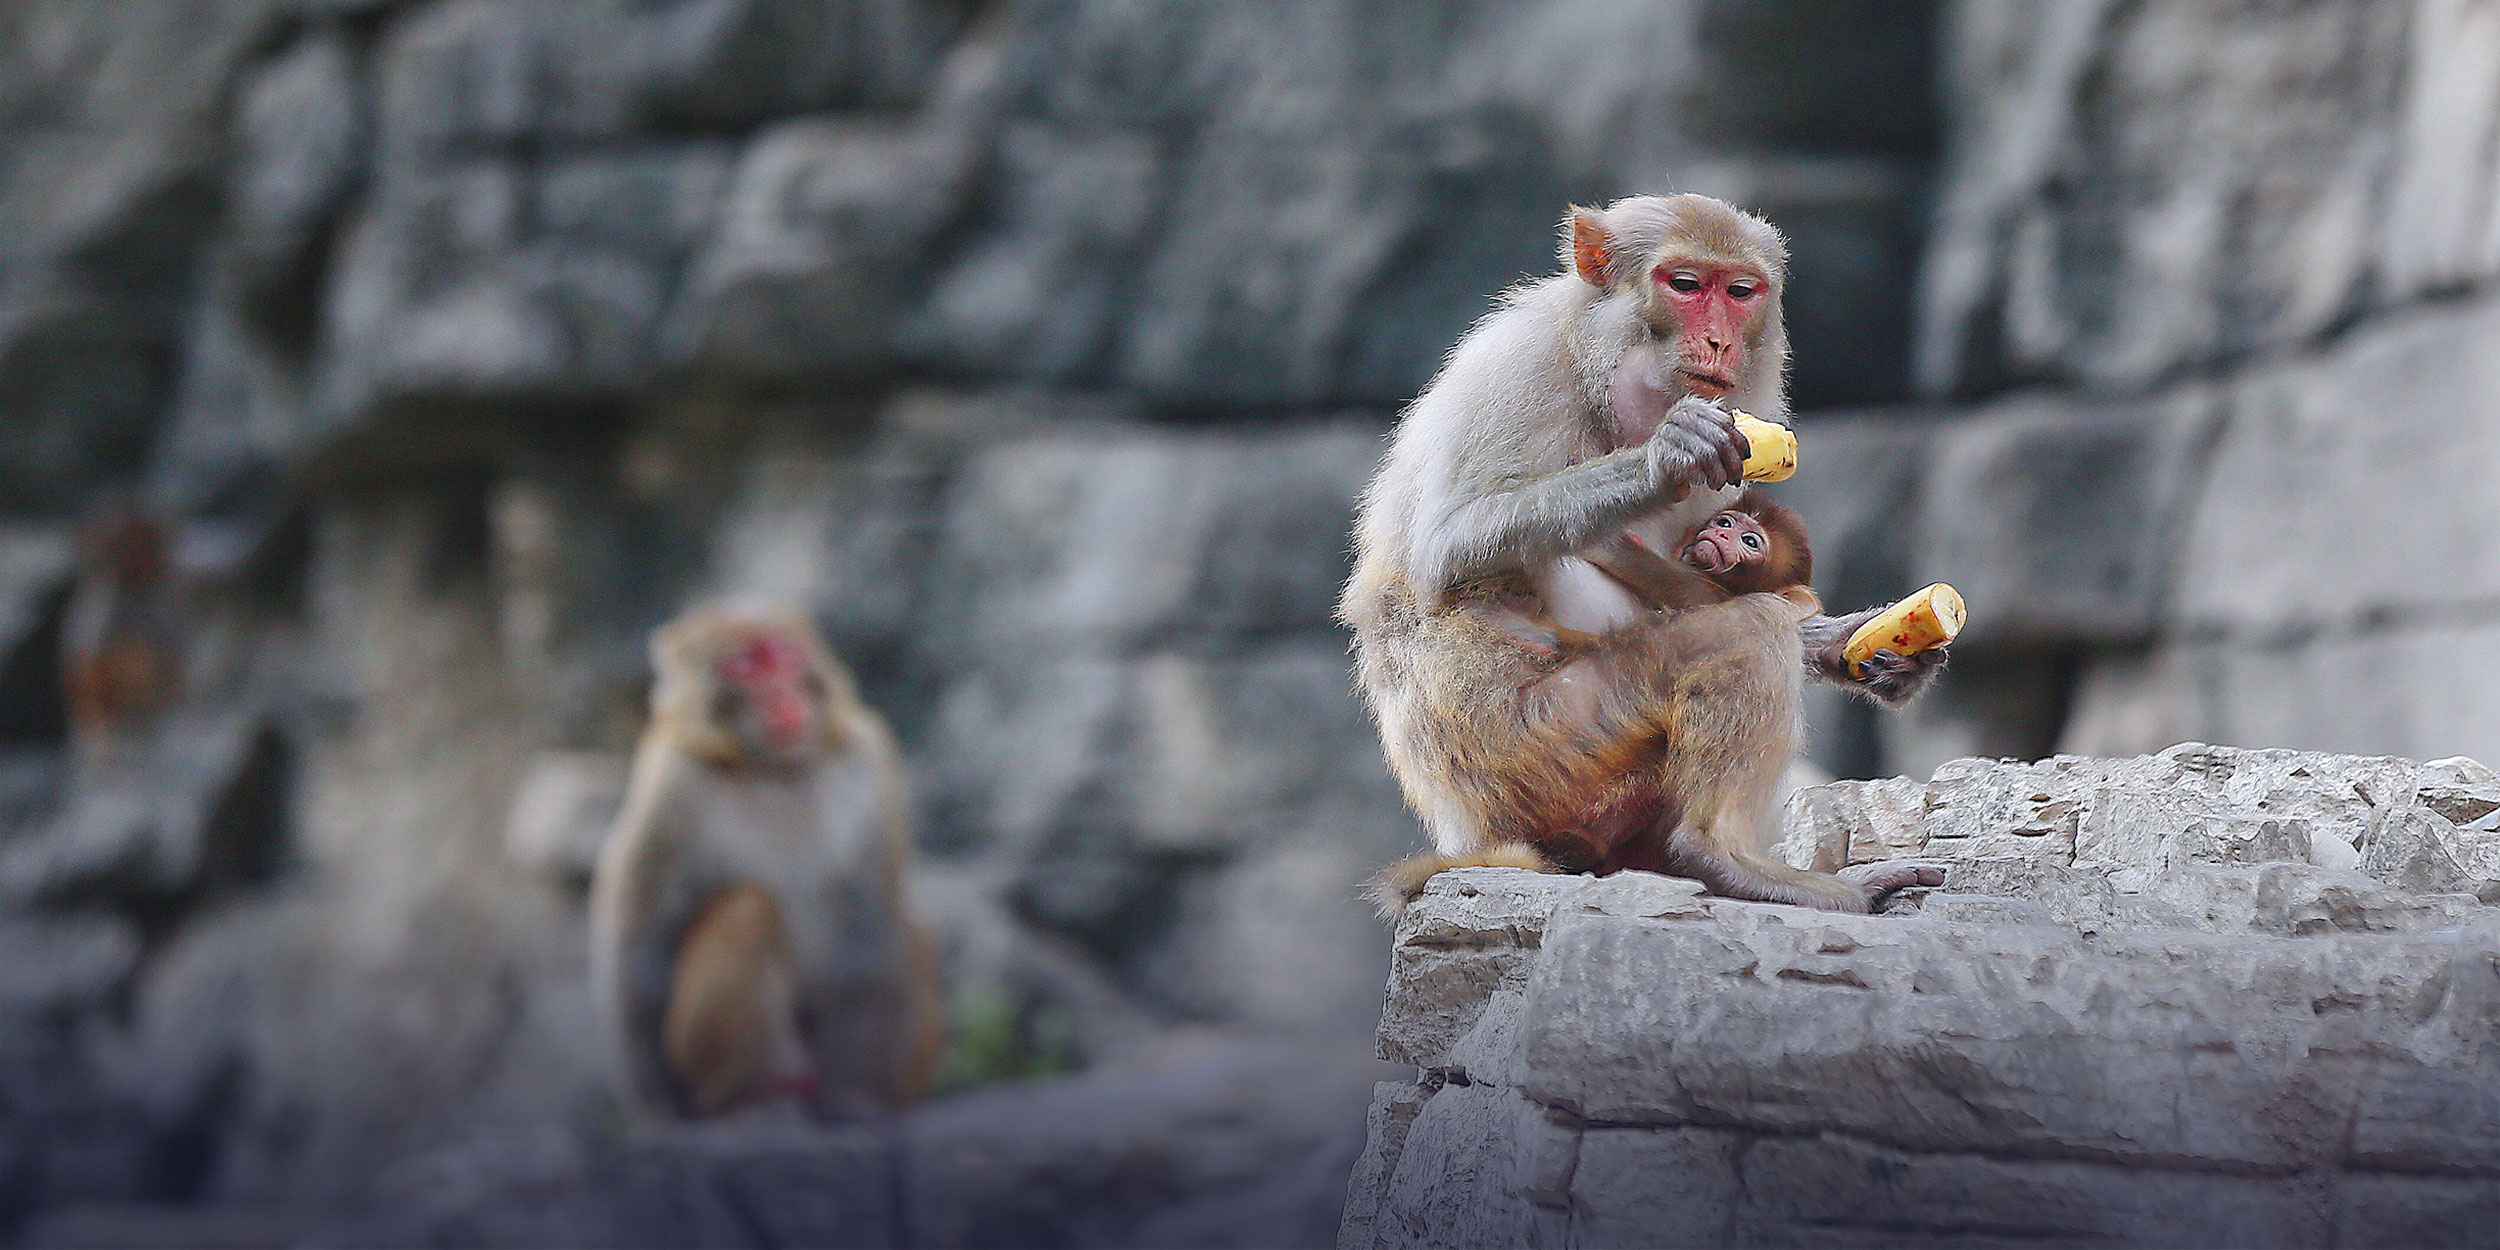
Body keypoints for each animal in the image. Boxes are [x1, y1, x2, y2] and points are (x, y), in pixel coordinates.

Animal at [588, 601, 943, 1123]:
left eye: (781, 655)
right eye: (744, 667)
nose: (779, 693)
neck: (774, 769)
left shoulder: (871, 757)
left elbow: (868, 927)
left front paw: (854, 1098)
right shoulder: (668, 778)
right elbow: (641, 937)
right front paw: (655, 1103)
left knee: (911, 933)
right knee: (747, 909)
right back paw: (750, 1100)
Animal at [1342, 194, 1945, 917]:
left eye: (1740, 292)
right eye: (1684, 285)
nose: (1718, 341)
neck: (1601, 368)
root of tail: (1470, 831)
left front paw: (1866, 653)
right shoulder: (1518, 364)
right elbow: (1450, 542)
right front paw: (1667, 455)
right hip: (1547, 741)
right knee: (1746, 630)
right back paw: (1726, 858)